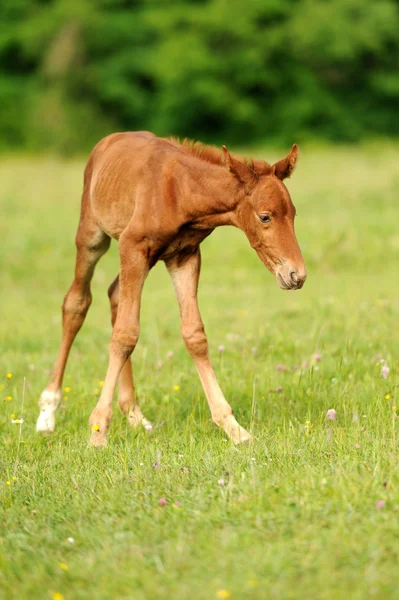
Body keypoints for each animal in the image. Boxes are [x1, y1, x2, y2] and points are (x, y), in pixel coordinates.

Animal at [36, 132, 306, 446]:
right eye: (265, 217)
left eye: (293, 214)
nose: (296, 274)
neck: (181, 191)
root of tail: (108, 141)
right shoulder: (132, 246)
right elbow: (125, 335)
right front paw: (98, 431)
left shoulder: (185, 255)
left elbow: (194, 334)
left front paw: (234, 428)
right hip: (92, 235)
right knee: (77, 302)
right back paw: (48, 412)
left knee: (114, 294)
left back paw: (135, 415)